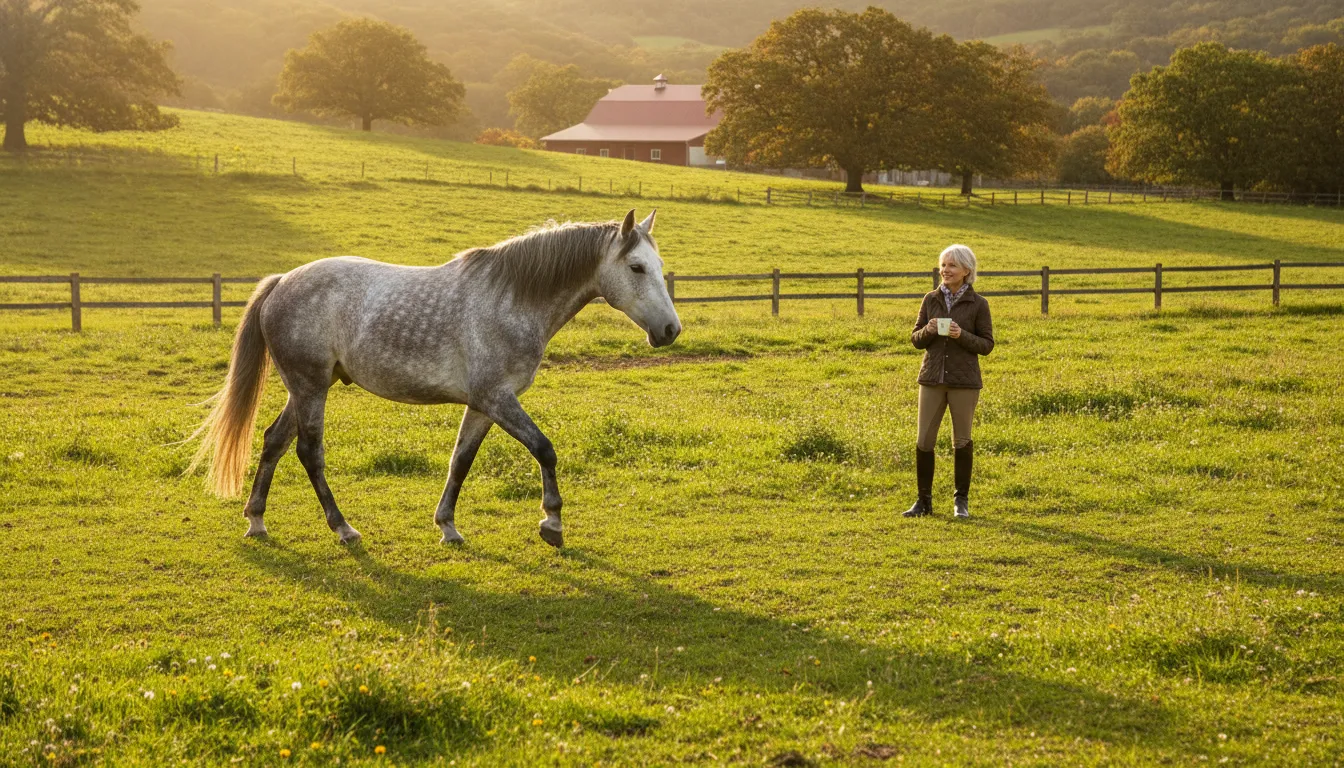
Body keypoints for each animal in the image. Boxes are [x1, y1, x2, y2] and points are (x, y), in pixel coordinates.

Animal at [188, 209, 679, 548]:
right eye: (636, 267)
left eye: (658, 265)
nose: (671, 330)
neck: (512, 299)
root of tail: (282, 281)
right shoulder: (498, 399)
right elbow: (544, 449)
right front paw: (552, 522)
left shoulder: (482, 405)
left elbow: (460, 461)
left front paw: (448, 526)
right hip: (309, 388)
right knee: (310, 453)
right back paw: (343, 528)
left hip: (308, 386)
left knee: (273, 440)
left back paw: (256, 519)